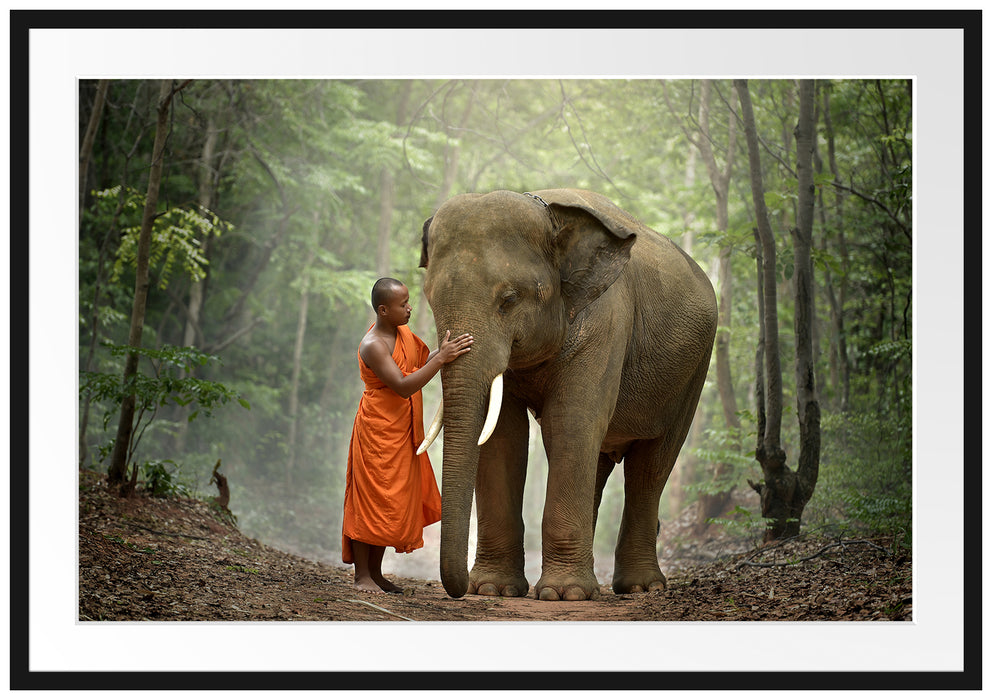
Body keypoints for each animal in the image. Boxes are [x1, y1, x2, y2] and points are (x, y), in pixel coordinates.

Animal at [417, 188, 717, 601]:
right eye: (429, 299)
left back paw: (639, 587)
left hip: (693, 371)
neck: (549, 213)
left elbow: (570, 422)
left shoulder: (606, 321)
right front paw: (494, 589)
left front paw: (564, 594)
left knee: (652, 465)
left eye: (508, 300)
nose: (460, 590)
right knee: (601, 463)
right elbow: (504, 435)